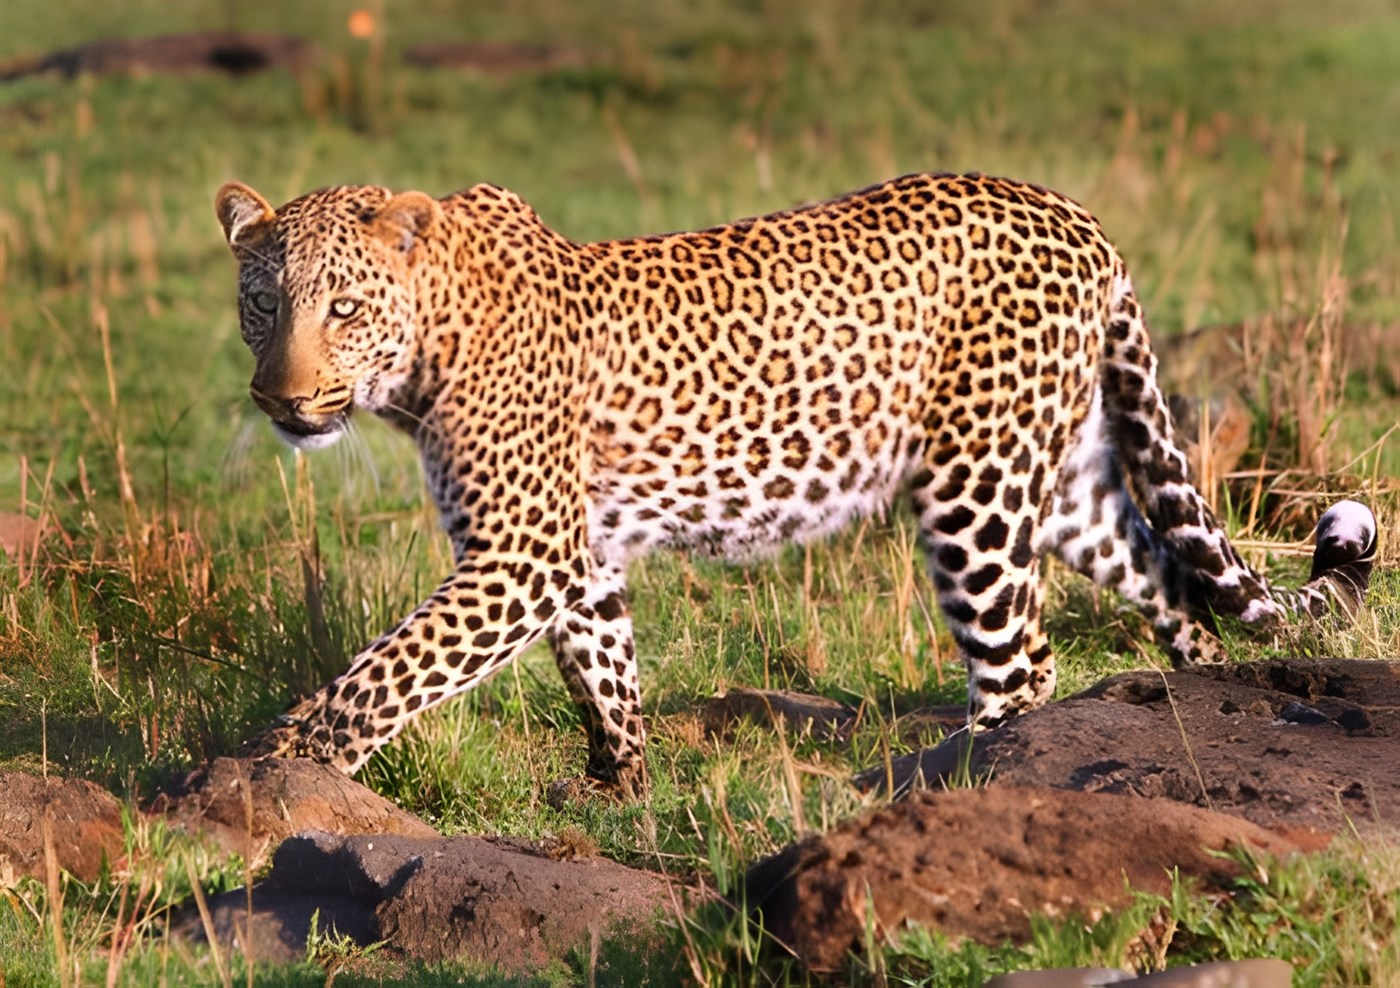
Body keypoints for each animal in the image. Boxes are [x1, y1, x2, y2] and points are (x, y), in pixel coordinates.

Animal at [215, 172, 1377, 798]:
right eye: (264, 305)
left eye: (344, 309)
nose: (280, 397)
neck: (431, 342)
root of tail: (1074, 214)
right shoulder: (572, 553)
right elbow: (603, 673)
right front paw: (618, 786)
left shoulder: (522, 550)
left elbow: (386, 671)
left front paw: (284, 769)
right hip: (1057, 479)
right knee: (1170, 576)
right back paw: (1192, 698)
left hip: (973, 488)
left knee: (1022, 665)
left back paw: (940, 785)